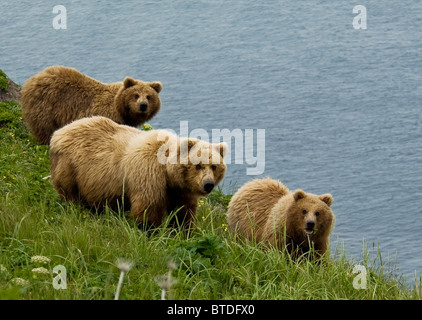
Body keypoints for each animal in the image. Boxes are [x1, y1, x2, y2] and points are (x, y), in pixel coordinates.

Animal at [19, 65, 162, 144]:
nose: (143, 105)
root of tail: (34, 78)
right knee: (45, 127)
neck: (120, 109)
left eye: (149, 97)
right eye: (136, 95)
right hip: (46, 105)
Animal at [49, 115, 227, 228]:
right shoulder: (148, 175)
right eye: (198, 165)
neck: (168, 174)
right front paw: (149, 231)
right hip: (70, 167)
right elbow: (147, 209)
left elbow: (182, 213)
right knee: (70, 193)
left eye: (214, 166)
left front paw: (182, 231)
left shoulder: (180, 189)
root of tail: (57, 133)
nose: (208, 184)